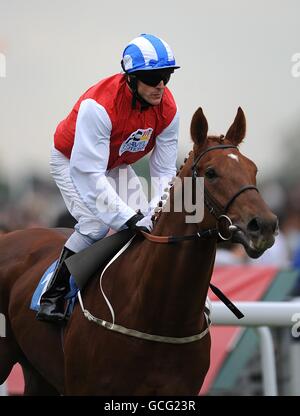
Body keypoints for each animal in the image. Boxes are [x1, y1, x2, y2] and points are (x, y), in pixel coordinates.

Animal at [0, 106, 278, 394]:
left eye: (253, 169)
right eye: (211, 173)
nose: (264, 225)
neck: (160, 314)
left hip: (38, 373)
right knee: (91, 225)